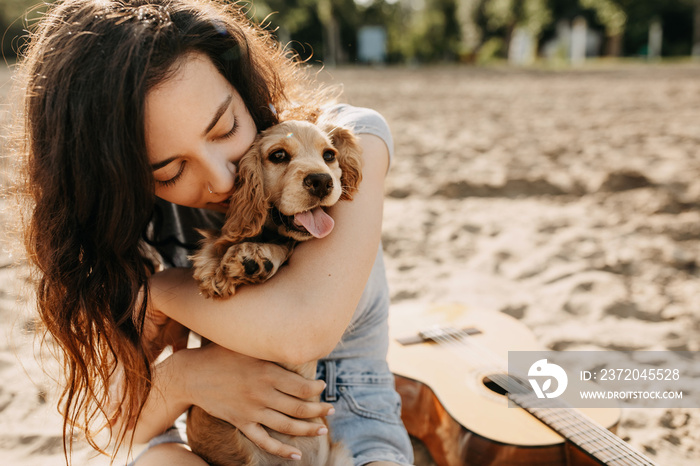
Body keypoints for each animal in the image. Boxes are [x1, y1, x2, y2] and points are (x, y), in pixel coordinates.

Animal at [186, 119, 360, 466]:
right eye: (278, 155)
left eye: (329, 155)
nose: (322, 181)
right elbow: (220, 239)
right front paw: (214, 267)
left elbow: (281, 246)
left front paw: (252, 257)